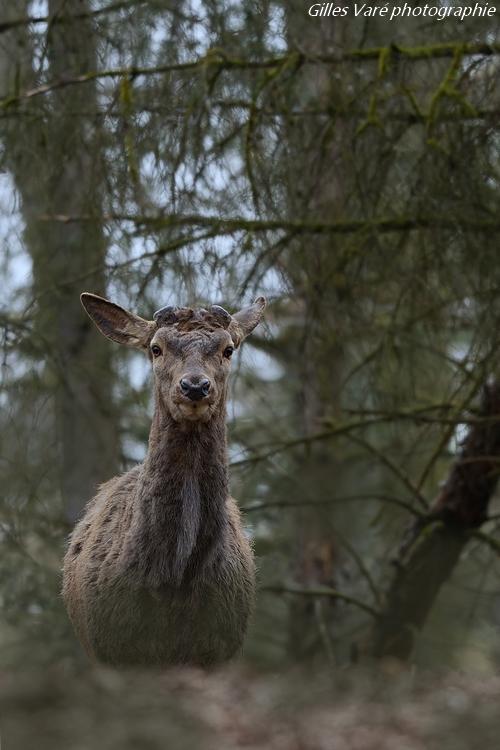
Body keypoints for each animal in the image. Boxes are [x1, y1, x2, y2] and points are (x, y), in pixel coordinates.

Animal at [62, 294, 266, 668]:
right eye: (156, 348)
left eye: (229, 349)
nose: (195, 386)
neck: (175, 578)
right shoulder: (114, 647)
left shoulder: (218, 647)